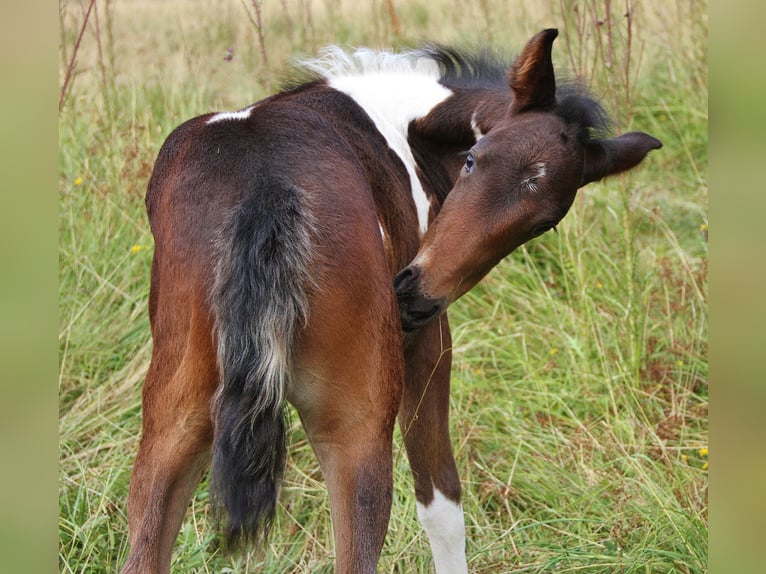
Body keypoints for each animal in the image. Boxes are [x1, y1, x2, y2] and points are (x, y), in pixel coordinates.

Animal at [123, 30, 664, 574]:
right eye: (473, 159)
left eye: (543, 224)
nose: (413, 295)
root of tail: (266, 186)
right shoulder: (428, 347)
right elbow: (442, 505)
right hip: (357, 427)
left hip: (175, 425)